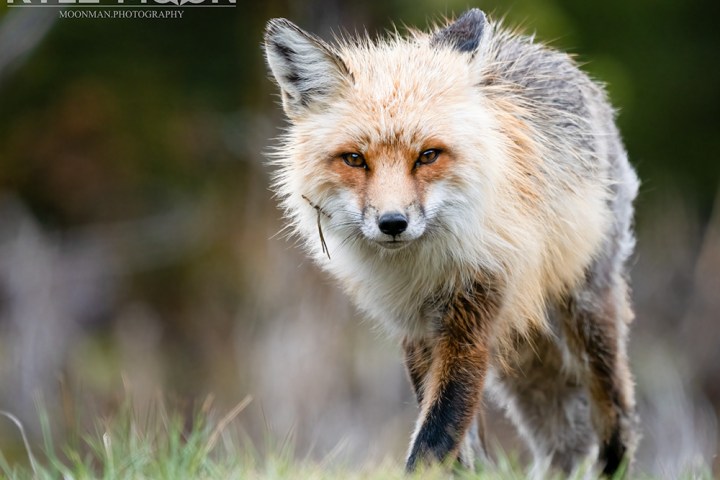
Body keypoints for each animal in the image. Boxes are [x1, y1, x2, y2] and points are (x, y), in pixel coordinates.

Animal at [263, 8, 639, 476]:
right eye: (354, 159)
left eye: (428, 156)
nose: (393, 223)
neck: (421, 271)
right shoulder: (415, 329)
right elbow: (453, 441)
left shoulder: (472, 314)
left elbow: (435, 435)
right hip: (527, 355)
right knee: (564, 442)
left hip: (585, 315)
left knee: (617, 417)